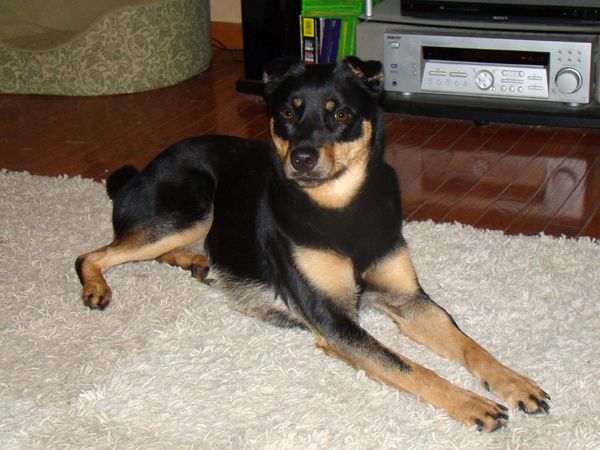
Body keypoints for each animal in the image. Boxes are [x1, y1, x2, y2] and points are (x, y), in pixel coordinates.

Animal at [77, 57, 552, 432]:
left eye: (339, 114)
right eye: (288, 111)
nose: (301, 158)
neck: (339, 207)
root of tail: (139, 173)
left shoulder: (409, 300)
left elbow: (471, 346)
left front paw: (514, 382)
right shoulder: (333, 320)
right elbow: (410, 367)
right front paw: (471, 403)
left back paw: (195, 262)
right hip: (192, 209)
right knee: (93, 254)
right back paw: (98, 287)